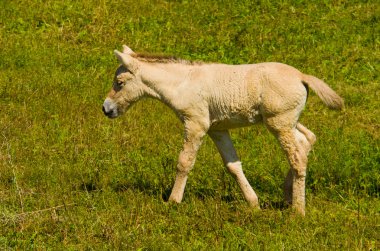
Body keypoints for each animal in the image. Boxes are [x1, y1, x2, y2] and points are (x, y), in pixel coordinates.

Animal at [101, 44, 344, 214]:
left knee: (297, 157)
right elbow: (233, 165)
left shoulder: (195, 123)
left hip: (279, 123)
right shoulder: (217, 129)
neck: (182, 83)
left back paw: (298, 211)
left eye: (120, 83)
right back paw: (287, 195)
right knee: (307, 140)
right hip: (287, 122)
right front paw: (253, 203)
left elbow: (184, 162)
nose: (106, 108)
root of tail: (302, 77)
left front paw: (173, 201)